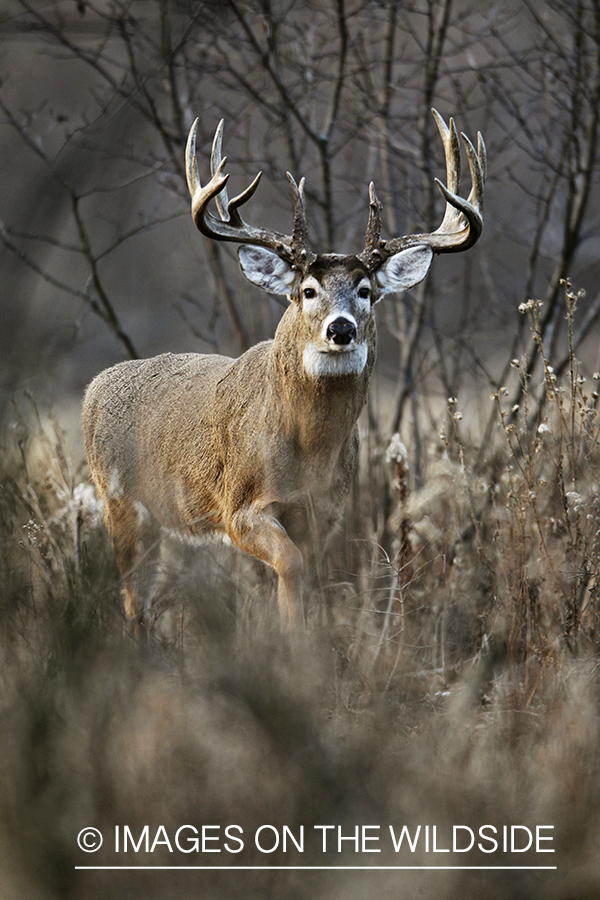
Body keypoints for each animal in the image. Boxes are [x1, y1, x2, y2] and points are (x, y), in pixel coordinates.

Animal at [84, 109, 486, 628]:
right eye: (308, 290)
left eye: (366, 291)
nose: (341, 329)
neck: (308, 452)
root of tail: (94, 388)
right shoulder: (238, 506)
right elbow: (289, 566)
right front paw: (291, 641)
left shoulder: (324, 515)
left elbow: (302, 580)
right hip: (120, 501)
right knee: (133, 601)